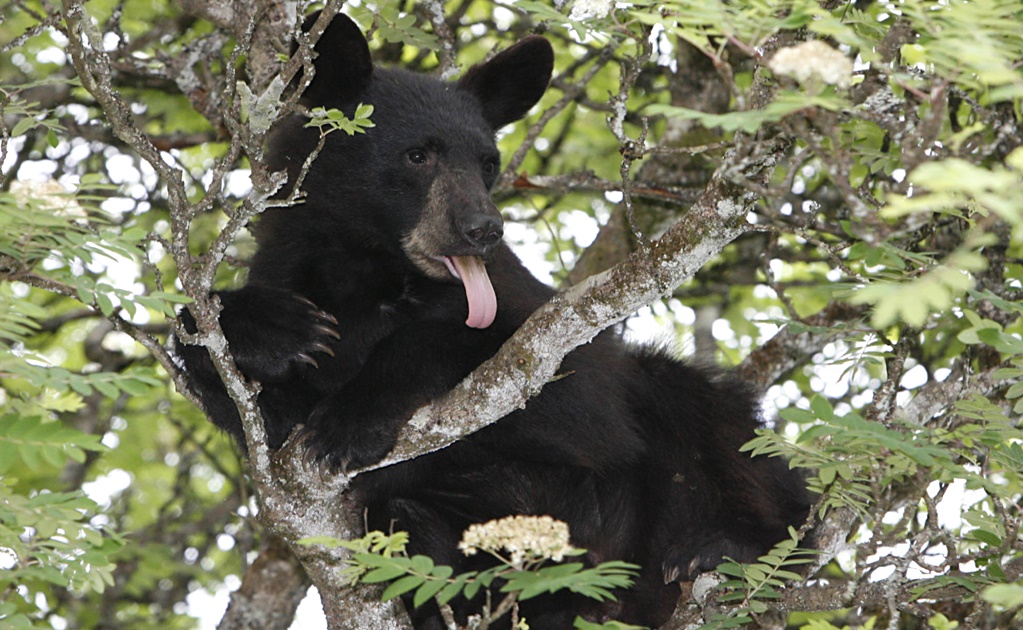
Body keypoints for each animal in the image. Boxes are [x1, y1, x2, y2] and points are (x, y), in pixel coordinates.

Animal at [178, 11, 814, 630]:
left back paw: (718, 547)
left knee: (710, 421)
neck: (366, 271)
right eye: (418, 155)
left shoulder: (536, 328)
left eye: (488, 163)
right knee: (400, 514)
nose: (485, 229)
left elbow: (545, 382)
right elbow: (244, 393)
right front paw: (280, 330)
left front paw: (348, 423)